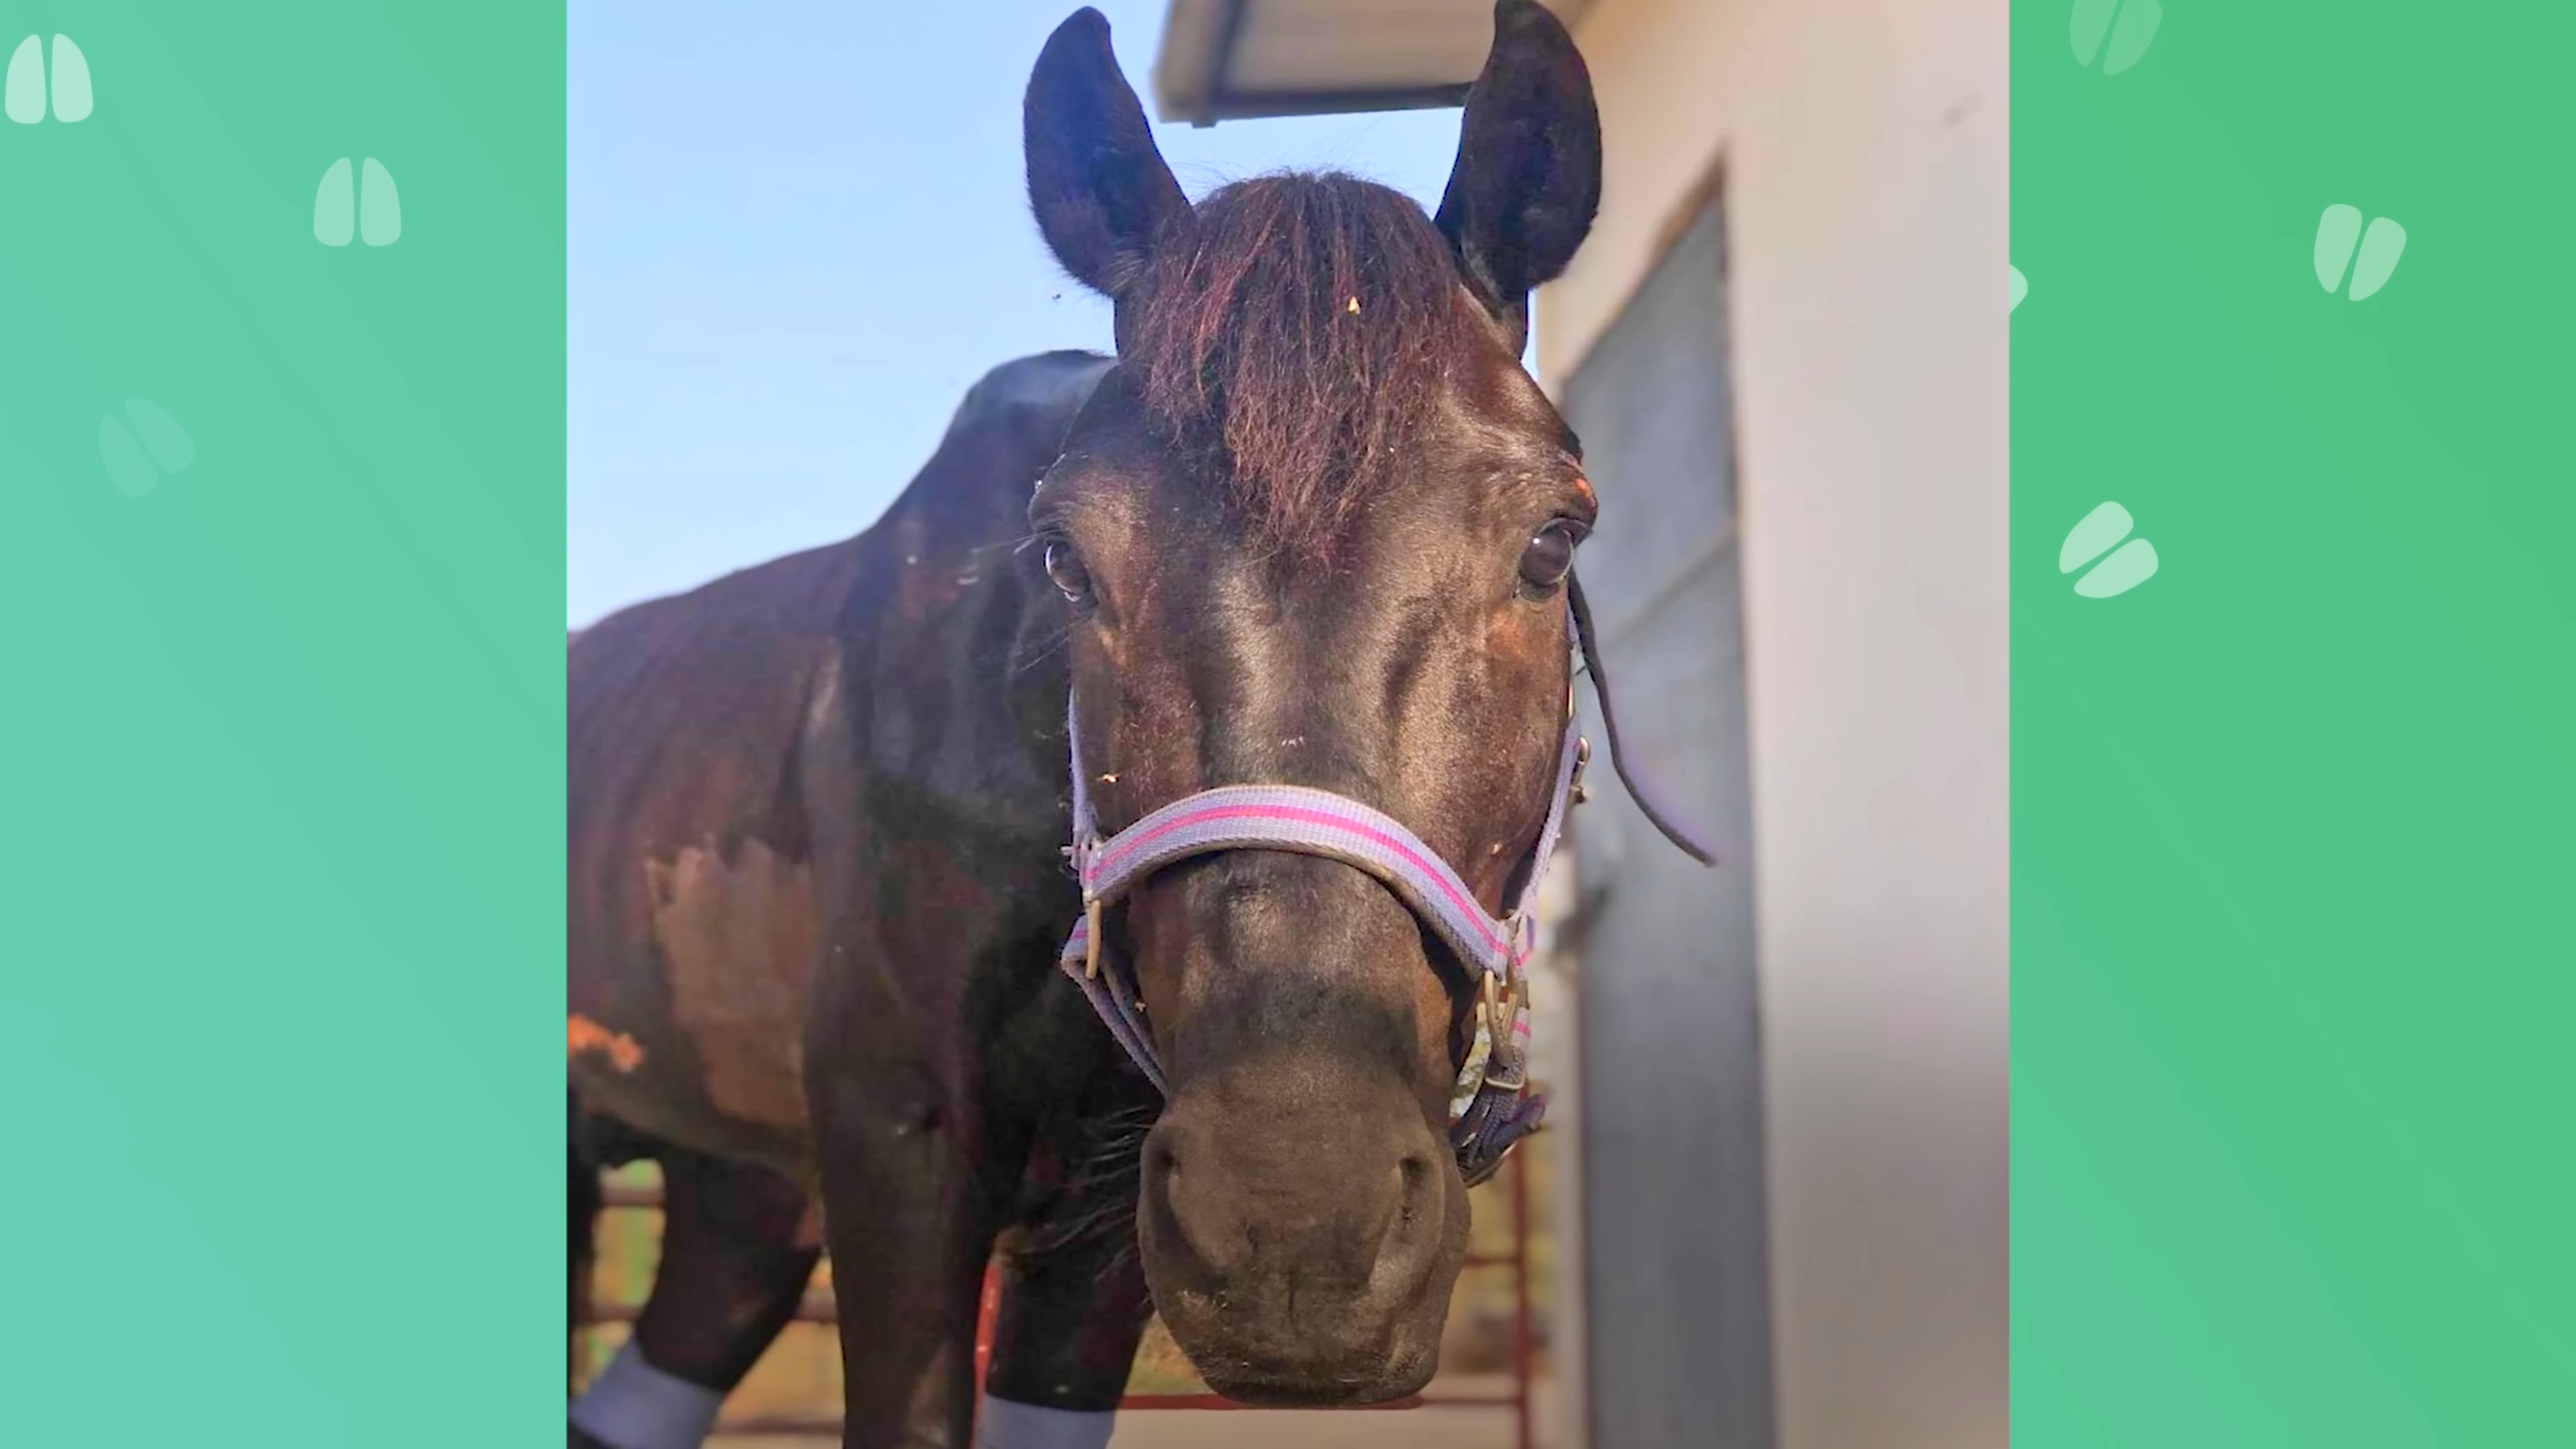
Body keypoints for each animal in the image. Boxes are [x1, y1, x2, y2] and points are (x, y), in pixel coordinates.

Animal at [564, 5, 1690, 1433]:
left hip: (737, 1191)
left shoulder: (1107, 1218)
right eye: (1065, 557)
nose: (1297, 1223)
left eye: (1552, 542)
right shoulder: (898, 1144)